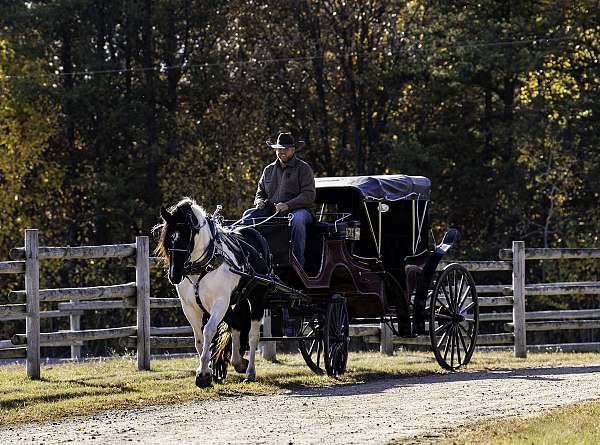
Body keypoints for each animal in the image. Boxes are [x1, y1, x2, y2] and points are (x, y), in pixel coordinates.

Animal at [154, 197, 270, 386]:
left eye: (187, 237)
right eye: (168, 239)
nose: (175, 275)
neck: (204, 265)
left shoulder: (220, 302)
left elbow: (209, 330)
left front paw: (203, 374)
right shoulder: (190, 307)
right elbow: (199, 339)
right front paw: (206, 371)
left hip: (257, 296)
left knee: (253, 335)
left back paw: (250, 372)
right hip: (235, 301)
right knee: (237, 325)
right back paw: (239, 363)